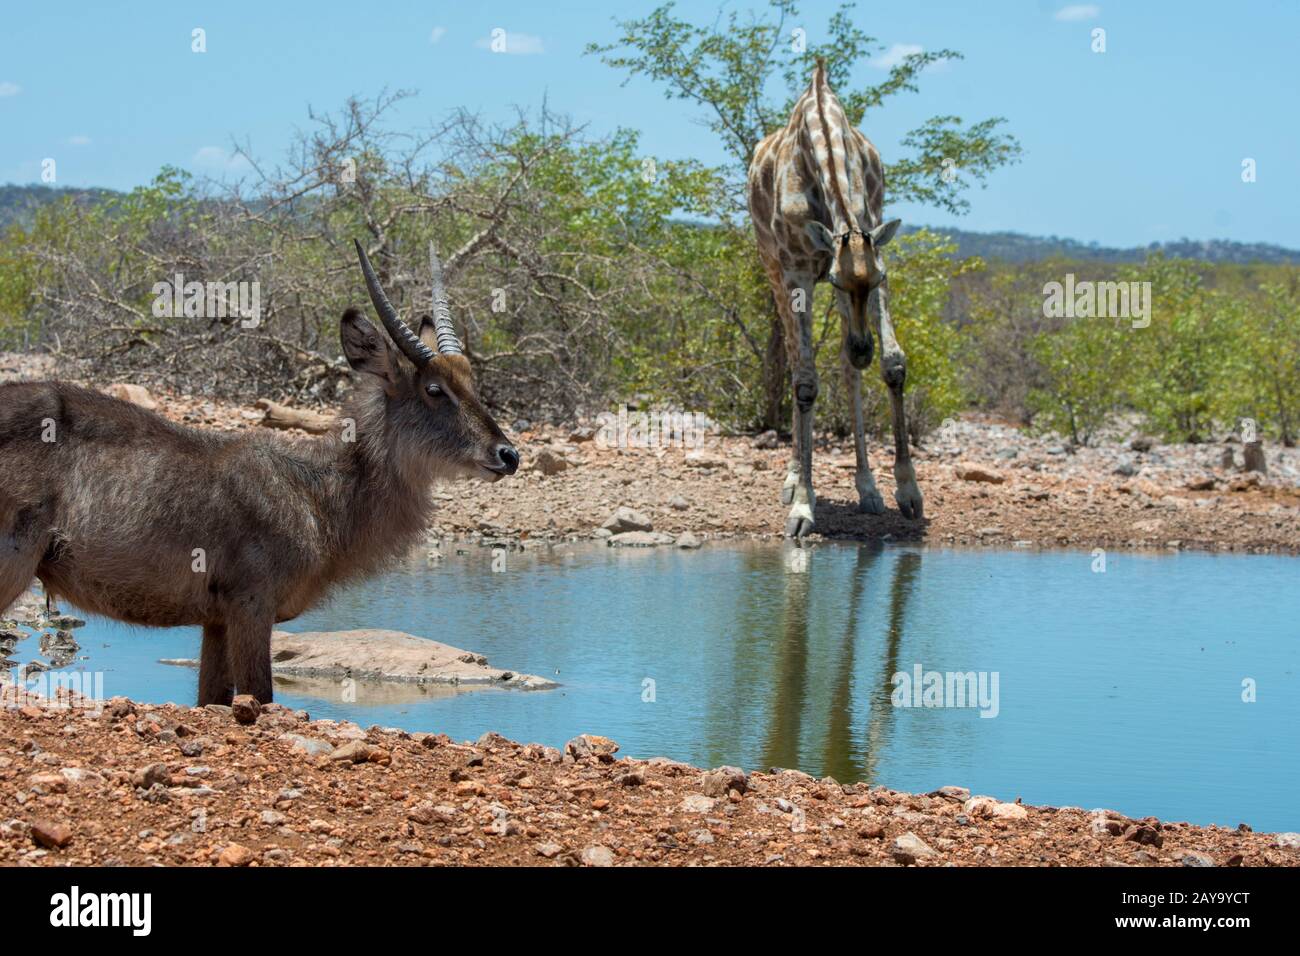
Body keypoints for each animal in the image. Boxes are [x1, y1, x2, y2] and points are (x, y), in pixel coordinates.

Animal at [748, 60, 923, 537]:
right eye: (836, 281)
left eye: (877, 277)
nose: (863, 349)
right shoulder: (798, 269)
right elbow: (806, 380)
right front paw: (802, 508)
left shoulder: (874, 254)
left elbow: (893, 364)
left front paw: (907, 492)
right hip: (771, 267)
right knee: (794, 360)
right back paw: (792, 478)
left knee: (846, 370)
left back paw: (867, 489)